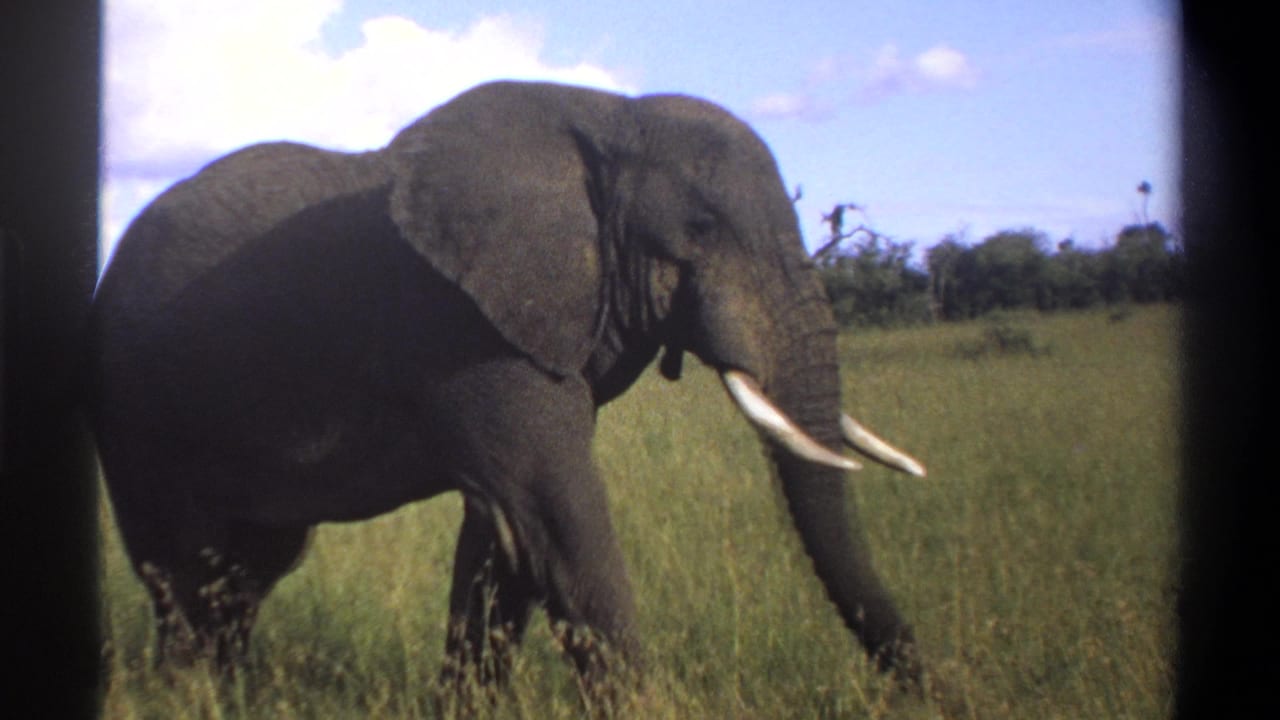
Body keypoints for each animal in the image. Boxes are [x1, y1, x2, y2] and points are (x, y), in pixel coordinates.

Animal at [88, 80, 928, 693]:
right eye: (701, 229)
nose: (926, 689)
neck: (610, 115)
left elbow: (503, 539)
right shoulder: (466, 329)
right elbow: (554, 516)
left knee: (250, 571)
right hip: (136, 408)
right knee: (186, 571)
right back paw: (186, 696)